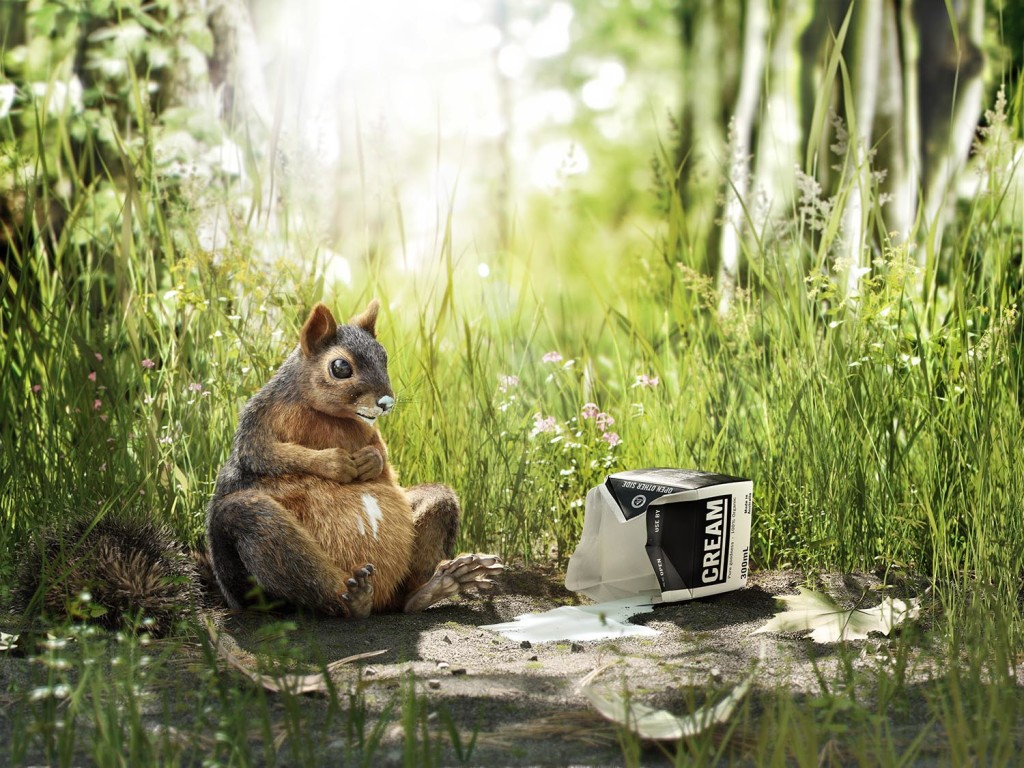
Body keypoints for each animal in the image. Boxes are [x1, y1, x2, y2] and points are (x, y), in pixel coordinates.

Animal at [205, 299, 503, 617]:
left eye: (384, 356)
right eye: (340, 367)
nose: (387, 402)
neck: (333, 416)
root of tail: (379, 601)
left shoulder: (371, 432)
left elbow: (383, 453)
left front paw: (370, 460)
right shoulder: (256, 425)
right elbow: (267, 454)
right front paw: (337, 463)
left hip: (435, 510)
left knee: (405, 597)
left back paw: (434, 588)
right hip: (253, 529)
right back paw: (354, 601)